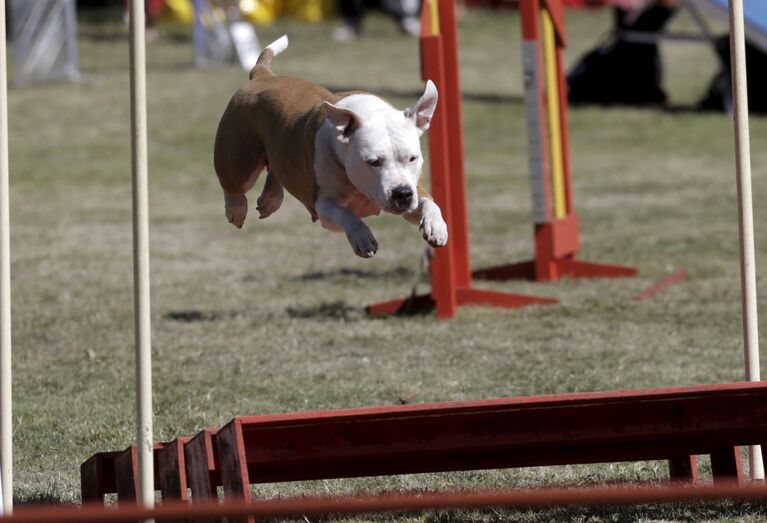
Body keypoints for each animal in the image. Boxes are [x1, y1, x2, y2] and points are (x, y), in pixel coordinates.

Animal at [213, 35, 448, 258]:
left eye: (412, 158)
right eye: (373, 162)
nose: (402, 194)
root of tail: (263, 76)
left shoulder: (415, 190)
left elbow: (429, 203)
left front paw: (436, 227)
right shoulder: (324, 207)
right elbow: (347, 215)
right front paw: (362, 237)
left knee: (276, 168)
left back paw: (270, 198)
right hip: (240, 160)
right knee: (233, 182)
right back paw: (236, 207)